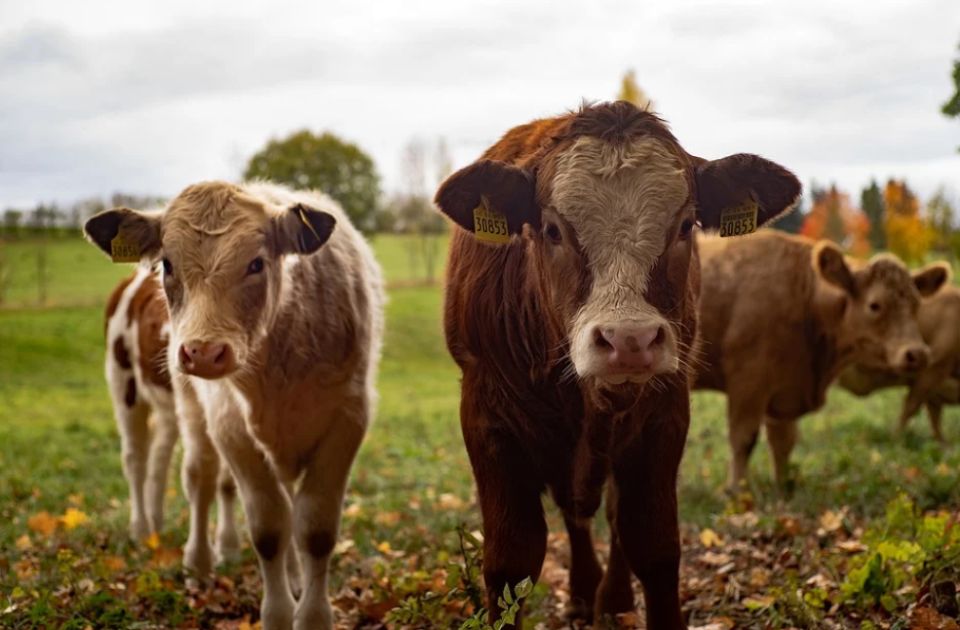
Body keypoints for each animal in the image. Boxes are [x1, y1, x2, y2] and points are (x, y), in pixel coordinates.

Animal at [83, 181, 382, 630]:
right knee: (167, 468)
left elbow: (313, 528)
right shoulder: (230, 425)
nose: (203, 353)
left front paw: (310, 611)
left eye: (256, 263)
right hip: (132, 389)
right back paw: (169, 544)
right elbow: (269, 527)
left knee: (167, 462)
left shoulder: (347, 419)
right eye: (168, 264)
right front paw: (277, 615)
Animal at [436, 101, 804, 628]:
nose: (629, 340)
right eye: (552, 230)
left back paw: (610, 598)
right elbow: (511, 561)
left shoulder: (664, 415)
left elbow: (653, 545)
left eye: (685, 226)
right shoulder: (487, 419)